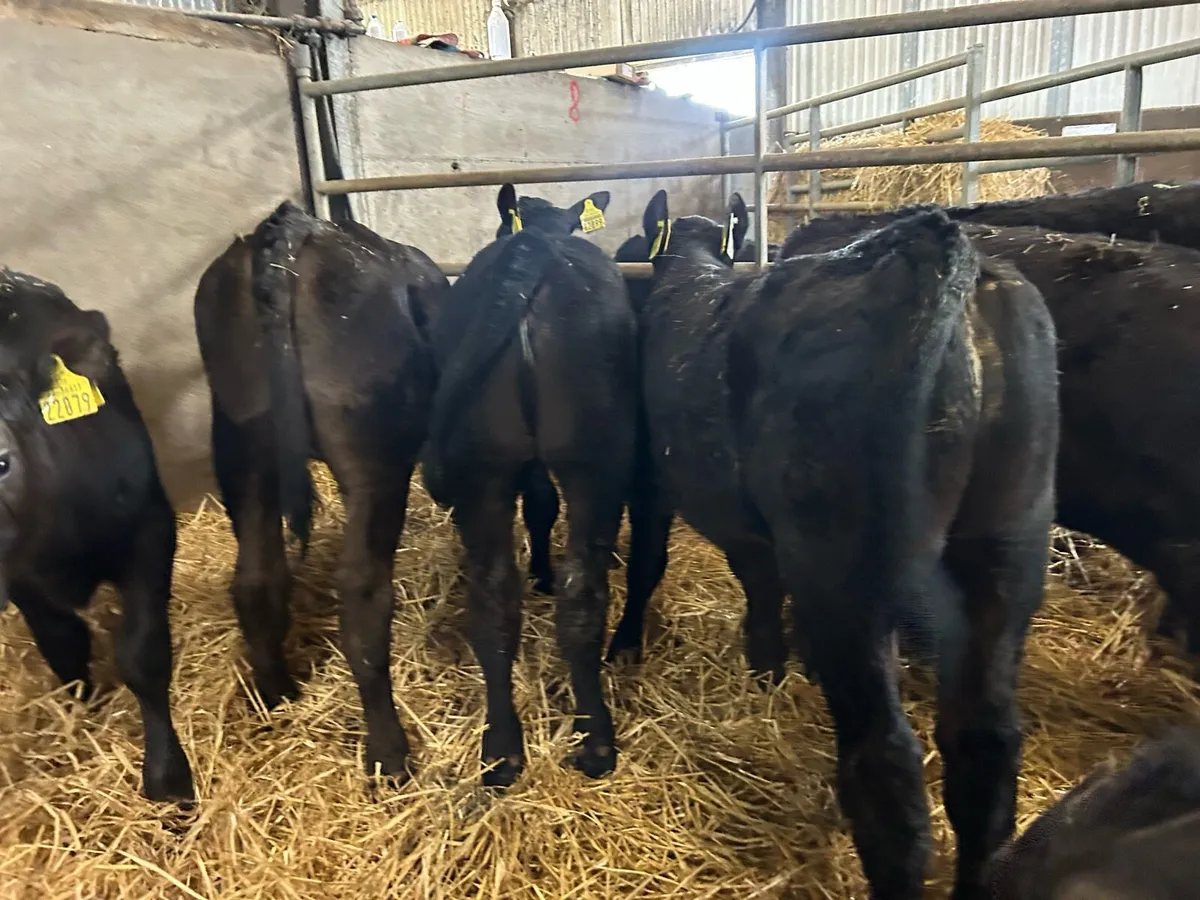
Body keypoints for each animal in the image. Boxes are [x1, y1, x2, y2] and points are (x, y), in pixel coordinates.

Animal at [0, 268, 194, 802]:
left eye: (1, 463)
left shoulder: (150, 529)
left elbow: (143, 652)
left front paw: (170, 780)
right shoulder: (20, 577)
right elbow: (63, 646)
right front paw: (83, 716)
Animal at [193, 201, 446, 780]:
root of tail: (290, 226)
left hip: (242, 445)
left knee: (256, 580)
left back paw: (276, 697)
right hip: (373, 460)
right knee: (362, 593)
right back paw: (390, 753)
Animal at [421, 183, 636, 788]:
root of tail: (531, 252)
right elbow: (542, 504)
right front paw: (542, 570)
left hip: (494, 465)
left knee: (498, 597)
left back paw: (506, 748)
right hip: (592, 463)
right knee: (571, 593)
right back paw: (588, 741)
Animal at [626, 191, 1059, 899]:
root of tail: (940, 244)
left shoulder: (689, 496)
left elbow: (724, 579)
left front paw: (758, 665)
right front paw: (773, 669)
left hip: (842, 569)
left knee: (885, 762)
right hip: (1008, 543)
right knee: (984, 742)